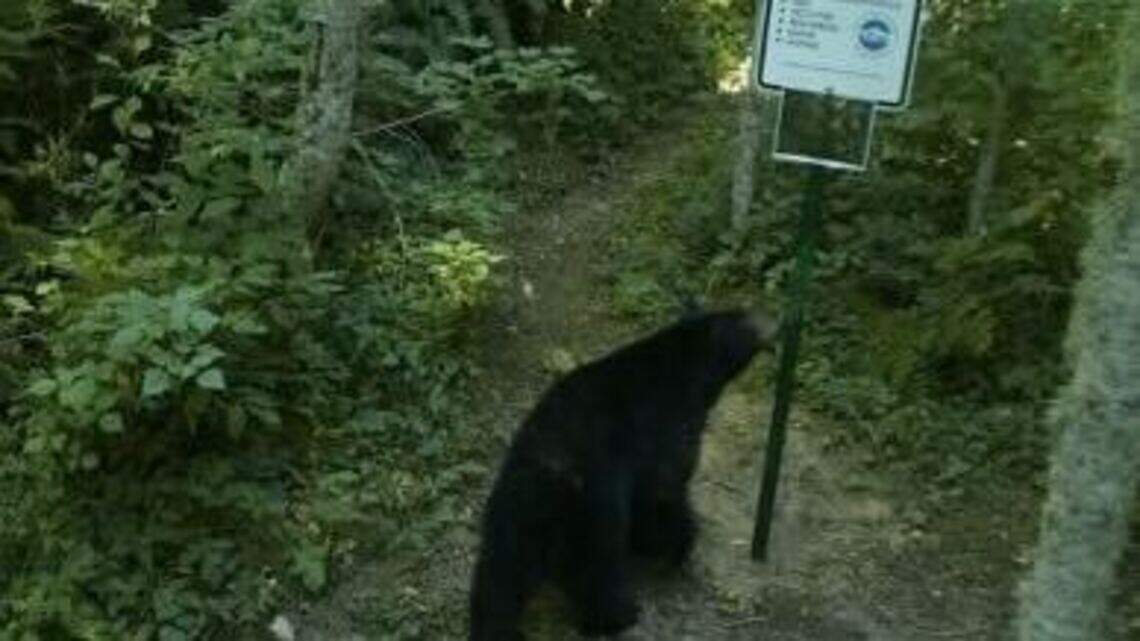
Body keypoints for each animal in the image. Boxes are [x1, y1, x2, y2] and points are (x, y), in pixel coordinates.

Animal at [469, 309, 775, 641]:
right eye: (747, 320)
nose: (774, 324)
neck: (686, 369)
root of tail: (546, 477)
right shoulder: (665, 428)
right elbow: (663, 489)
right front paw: (675, 547)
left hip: (512, 511)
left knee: (499, 574)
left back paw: (493, 627)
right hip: (590, 511)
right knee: (597, 570)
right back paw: (619, 616)